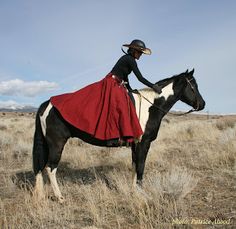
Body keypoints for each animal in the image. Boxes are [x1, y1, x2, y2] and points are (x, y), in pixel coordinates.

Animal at [31, 68, 205, 202]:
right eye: (193, 86)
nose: (202, 104)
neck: (151, 106)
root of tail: (47, 104)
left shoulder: (135, 145)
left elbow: (135, 166)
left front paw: (133, 191)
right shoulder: (144, 143)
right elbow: (141, 167)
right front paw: (141, 193)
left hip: (47, 144)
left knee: (40, 167)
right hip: (57, 144)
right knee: (50, 168)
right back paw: (60, 198)